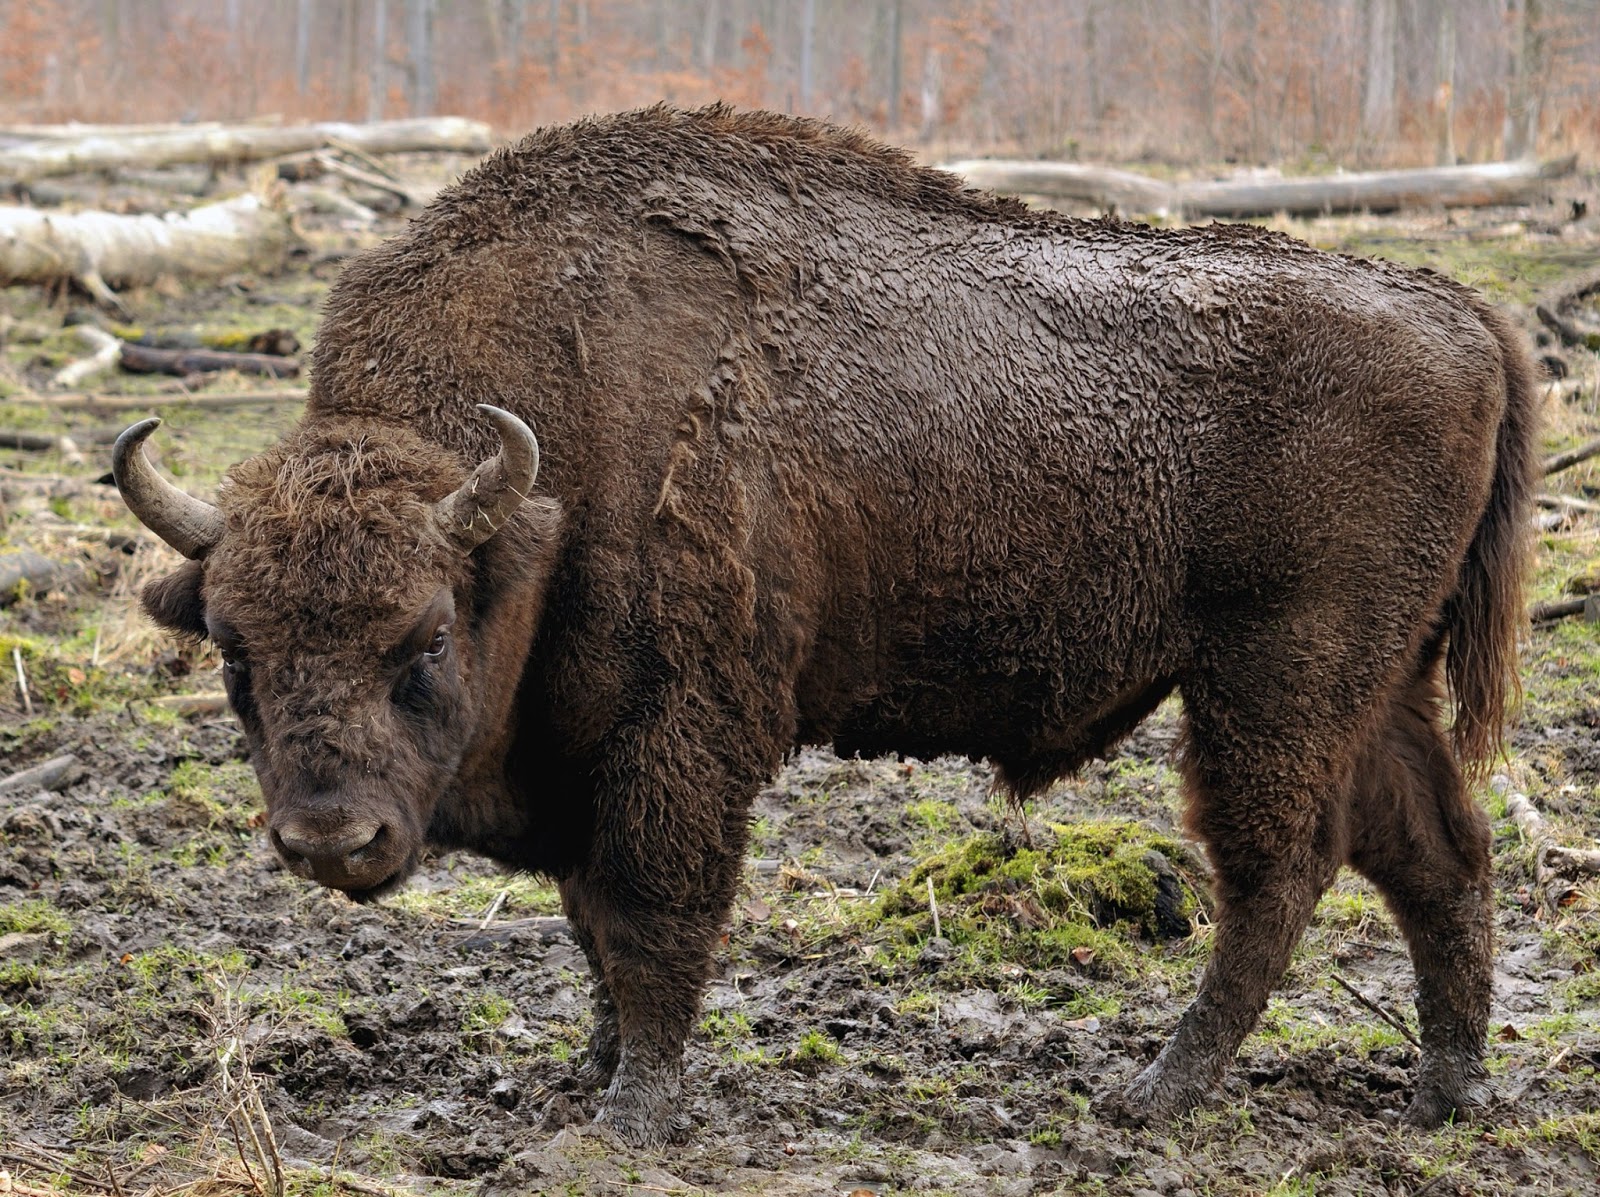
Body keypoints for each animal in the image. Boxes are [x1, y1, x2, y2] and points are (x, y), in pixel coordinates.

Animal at [114, 105, 1535, 1147]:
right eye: (234, 651)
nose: (328, 839)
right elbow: (589, 922)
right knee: (1437, 852)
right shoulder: (584, 752)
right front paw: (590, 1072)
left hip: (1274, 679)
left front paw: (633, 1113)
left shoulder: (677, 734)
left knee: (1281, 869)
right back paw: (1447, 1092)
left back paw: (1152, 1093)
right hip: (1376, 683)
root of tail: (1462, 310)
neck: (540, 490)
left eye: (421, 639)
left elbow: (648, 912)